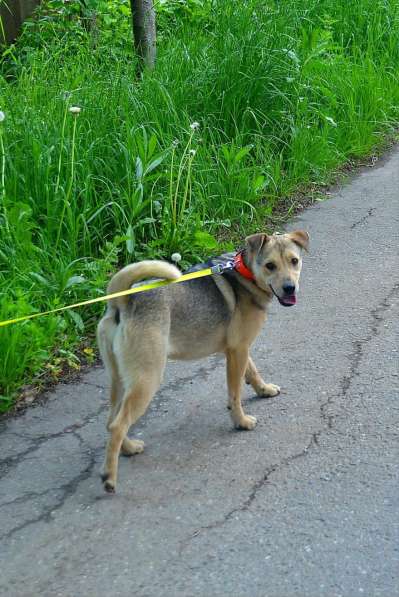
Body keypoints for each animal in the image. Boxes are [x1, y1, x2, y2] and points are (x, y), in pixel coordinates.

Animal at [97, 230, 310, 492]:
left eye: (294, 261)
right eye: (270, 265)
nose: (290, 288)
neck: (245, 273)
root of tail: (122, 303)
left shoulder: (237, 349)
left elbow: (252, 371)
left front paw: (264, 390)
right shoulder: (238, 351)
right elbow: (235, 393)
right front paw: (240, 421)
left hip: (120, 380)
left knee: (111, 421)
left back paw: (128, 448)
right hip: (147, 379)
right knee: (118, 424)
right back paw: (109, 477)